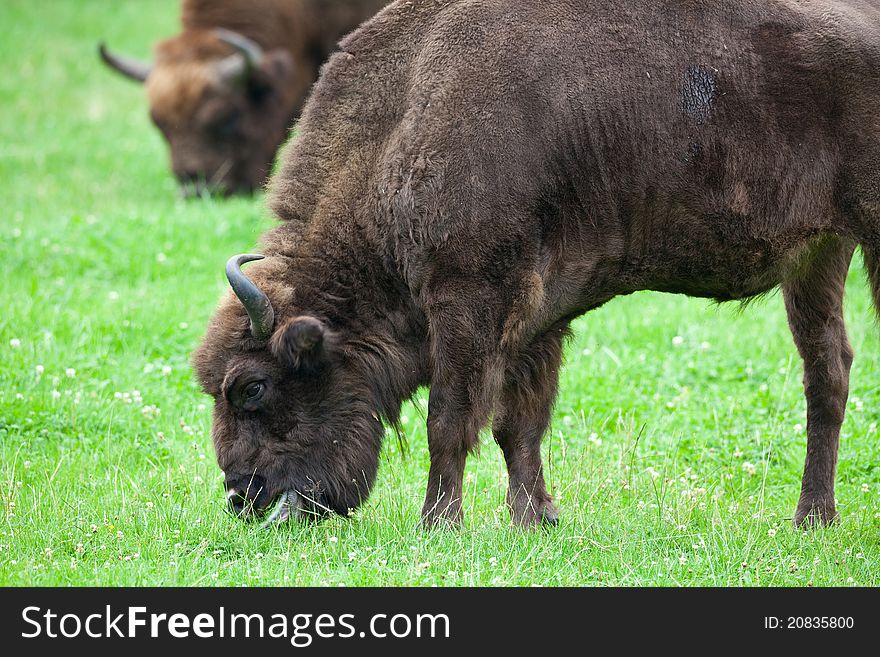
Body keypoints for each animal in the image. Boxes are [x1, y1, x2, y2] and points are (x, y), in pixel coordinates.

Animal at [198, 0, 880, 528]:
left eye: (251, 387)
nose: (241, 497)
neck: (408, 115)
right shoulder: (537, 316)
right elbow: (519, 423)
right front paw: (534, 517)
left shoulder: (467, 299)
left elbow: (451, 418)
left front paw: (438, 523)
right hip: (820, 256)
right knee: (827, 373)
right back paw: (812, 516)